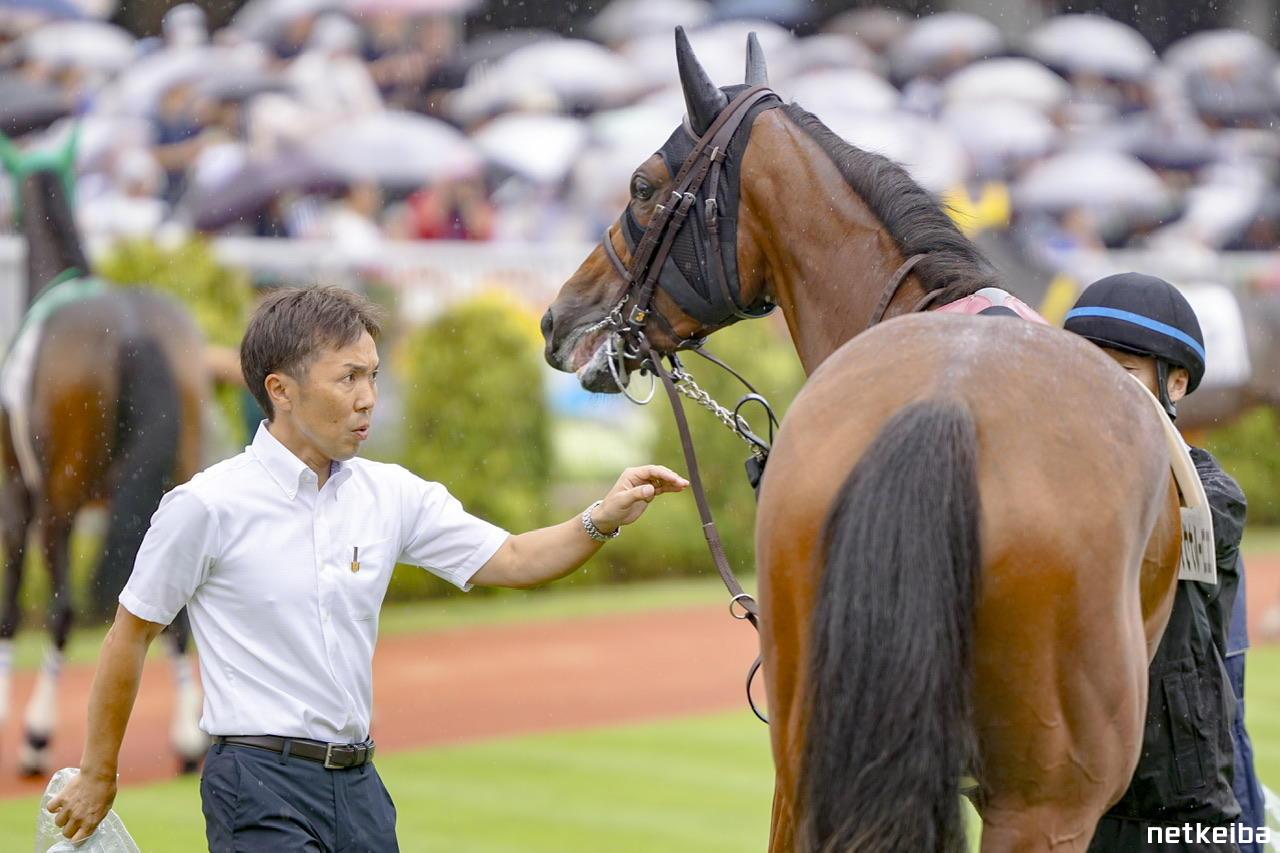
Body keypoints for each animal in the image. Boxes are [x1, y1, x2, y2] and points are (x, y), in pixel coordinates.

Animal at [0, 133, 209, 775]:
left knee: (63, 607)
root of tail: (133, 327)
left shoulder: (16, 495)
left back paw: (37, 736)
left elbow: (13, 601)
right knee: (175, 613)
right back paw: (187, 739)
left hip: (60, 502)